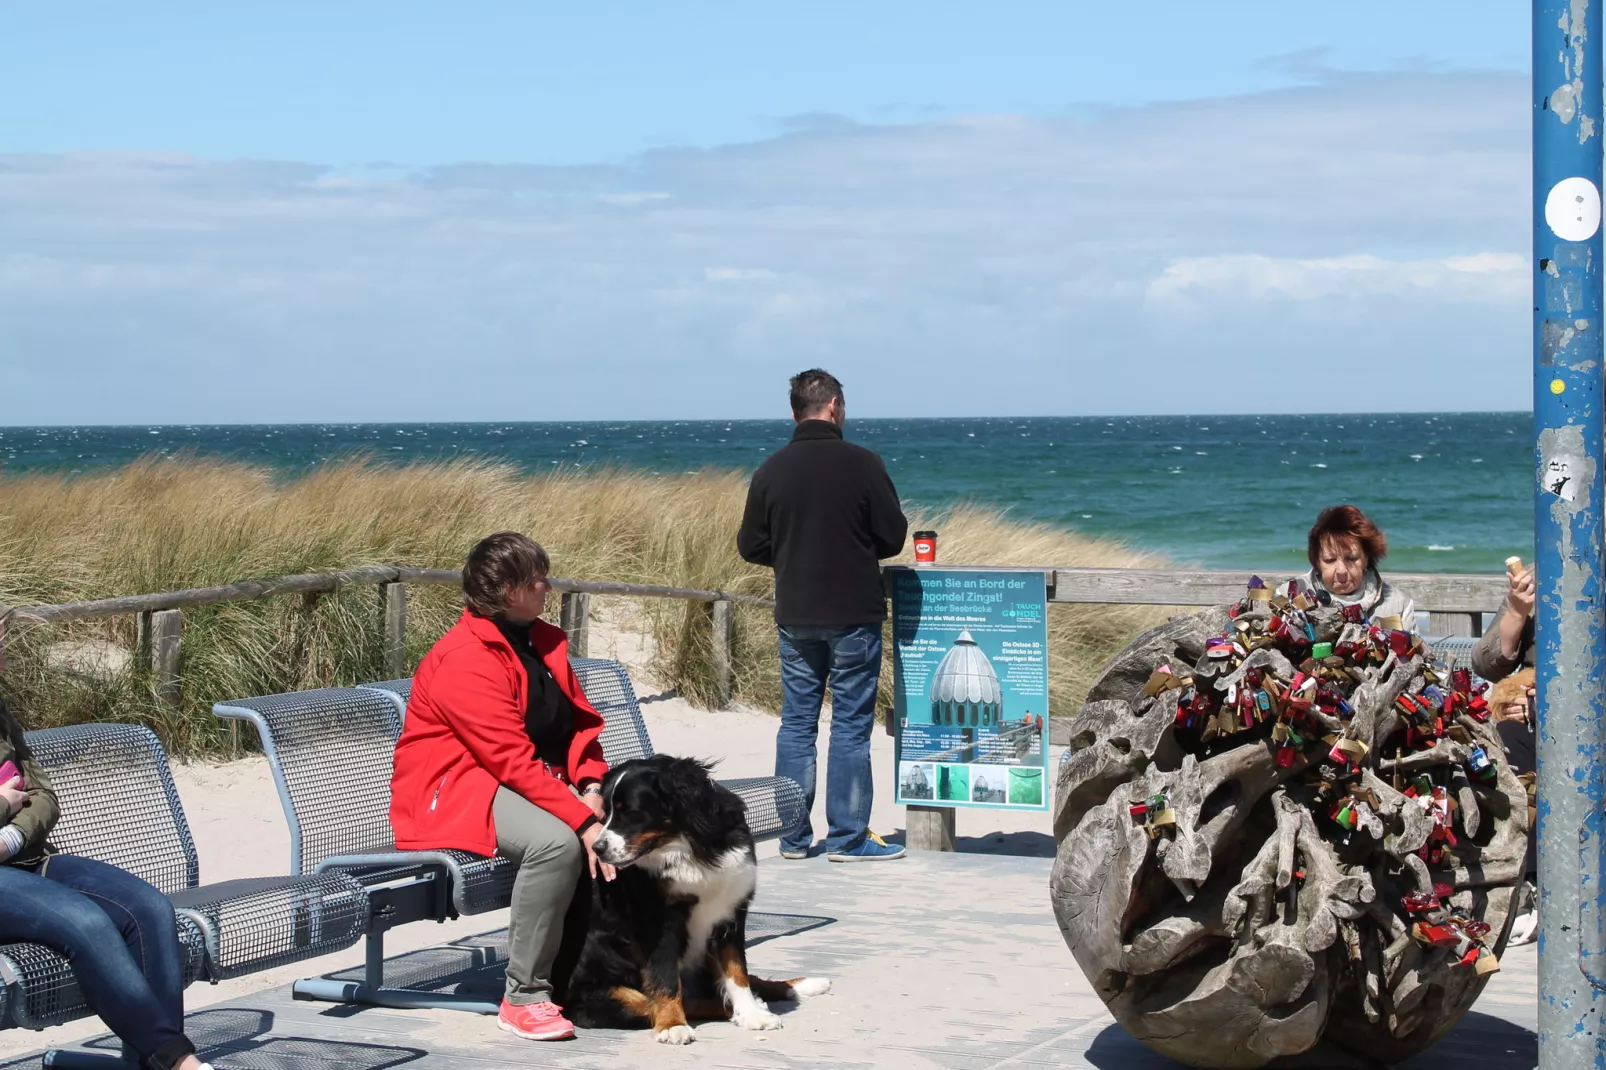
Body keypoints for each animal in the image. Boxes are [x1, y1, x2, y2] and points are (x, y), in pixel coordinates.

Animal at [549, 748, 828, 1041]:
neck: (688, 849)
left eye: (631, 812)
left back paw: (798, 987)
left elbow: (738, 972)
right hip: (603, 989)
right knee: (658, 1002)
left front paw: (752, 1013)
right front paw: (672, 1024)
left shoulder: (731, 912)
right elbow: (666, 977)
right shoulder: (660, 922)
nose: (597, 848)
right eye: (607, 812)